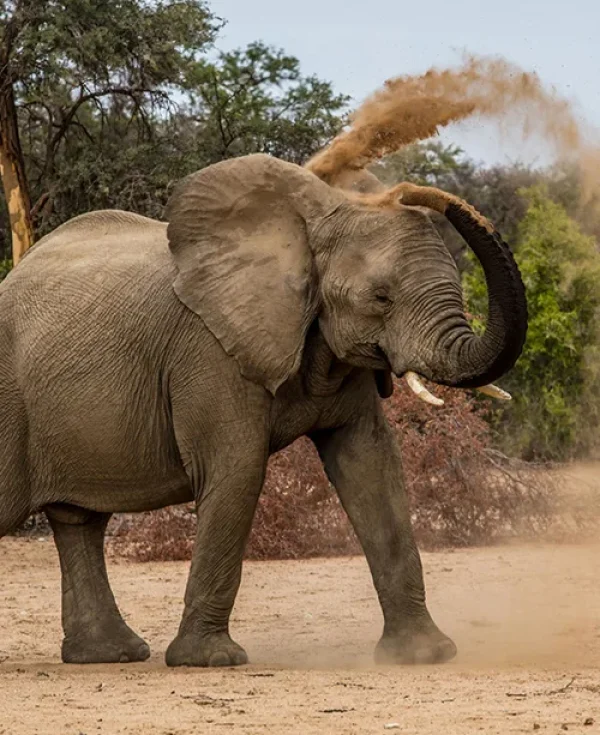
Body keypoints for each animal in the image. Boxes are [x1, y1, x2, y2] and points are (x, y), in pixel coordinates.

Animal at [0, 153, 527, 667]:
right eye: (381, 298)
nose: (409, 190)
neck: (310, 224)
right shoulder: (211, 350)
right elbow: (238, 469)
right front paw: (210, 661)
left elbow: (371, 465)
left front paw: (425, 654)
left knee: (79, 523)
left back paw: (110, 655)